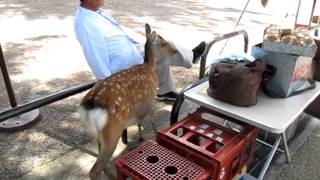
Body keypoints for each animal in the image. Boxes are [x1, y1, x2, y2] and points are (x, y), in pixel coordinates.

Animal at [78, 24, 175, 180]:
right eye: (164, 42)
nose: (174, 51)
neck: (149, 66)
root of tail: (89, 105)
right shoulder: (151, 101)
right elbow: (153, 123)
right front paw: (156, 139)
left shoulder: (140, 108)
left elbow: (139, 121)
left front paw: (141, 136)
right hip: (112, 130)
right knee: (95, 169)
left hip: (98, 133)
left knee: (102, 163)